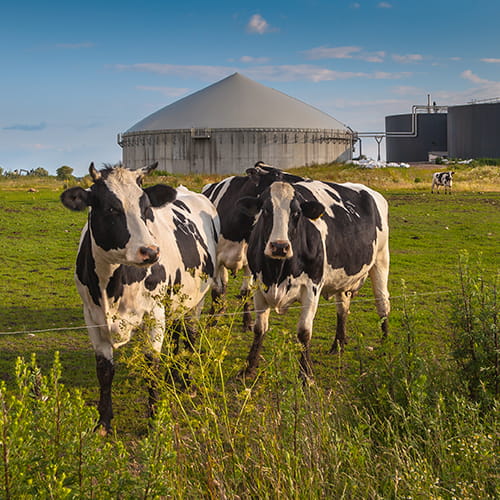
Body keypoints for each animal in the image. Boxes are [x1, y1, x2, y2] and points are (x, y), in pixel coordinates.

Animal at [60, 163, 219, 430]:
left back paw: (186, 381)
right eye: (111, 208)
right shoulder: (92, 317)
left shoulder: (154, 314)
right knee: (176, 334)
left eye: (146, 208)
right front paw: (103, 422)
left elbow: (151, 365)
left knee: (190, 337)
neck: (111, 287)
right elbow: (104, 370)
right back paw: (173, 375)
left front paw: (154, 420)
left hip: (197, 299)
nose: (150, 251)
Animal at [201, 162, 302, 330]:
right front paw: (212, 320)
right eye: (277, 174)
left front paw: (247, 321)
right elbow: (216, 290)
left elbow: (246, 292)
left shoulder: (250, 261)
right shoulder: (216, 259)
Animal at [238, 181, 390, 382]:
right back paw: (338, 344)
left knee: (382, 303)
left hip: (381, 259)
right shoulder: (259, 285)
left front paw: (306, 374)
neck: (278, 272)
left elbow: (304, 332)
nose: (279, 246)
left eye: (296, 213)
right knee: (343, 308)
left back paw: (385, 344)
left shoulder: (312, 287)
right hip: (344, 281)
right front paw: (248, 368)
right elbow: (259, 329)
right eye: (265, 210)